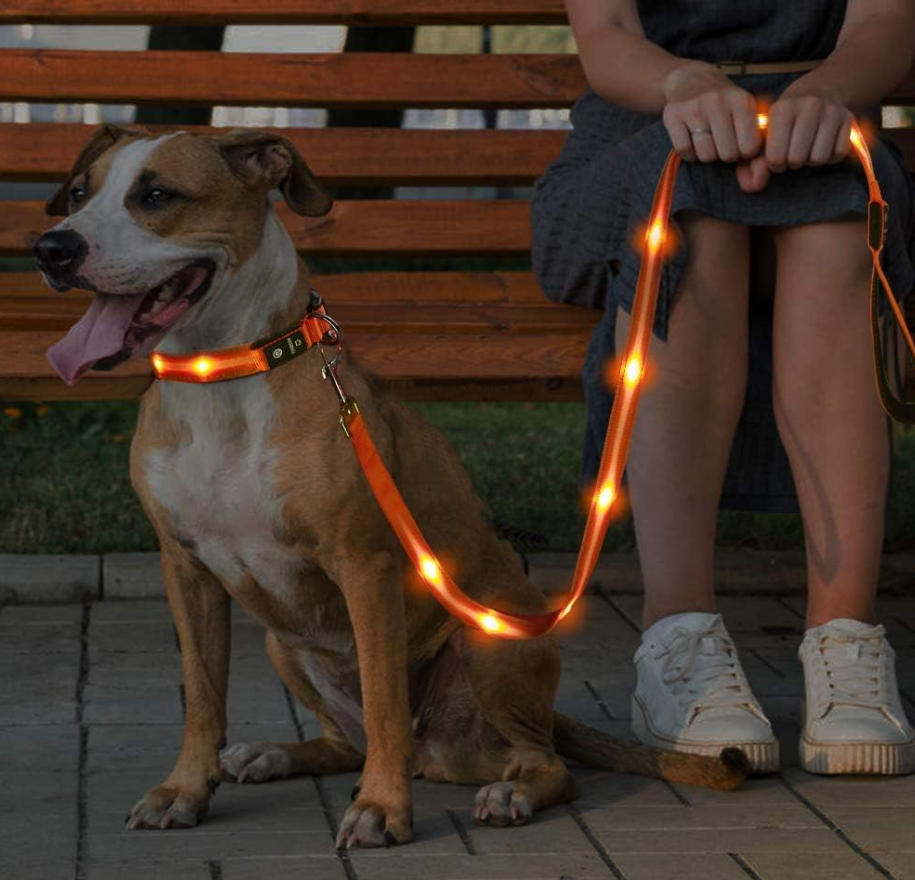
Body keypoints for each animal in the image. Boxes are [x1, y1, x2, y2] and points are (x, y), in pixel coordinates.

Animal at [37, 127, 752, 848]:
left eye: (157, 196)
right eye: (77, 193)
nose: (52, 249)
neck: (221, 378)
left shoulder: (365, 566)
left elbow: (383, 699)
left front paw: (382, 808)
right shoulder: (184, 568)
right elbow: (202, 694)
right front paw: (184, 790)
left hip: (486, 644)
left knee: (538, 761)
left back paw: (510, 793)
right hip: (282, 644)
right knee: (347, 742)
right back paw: (273, 755)